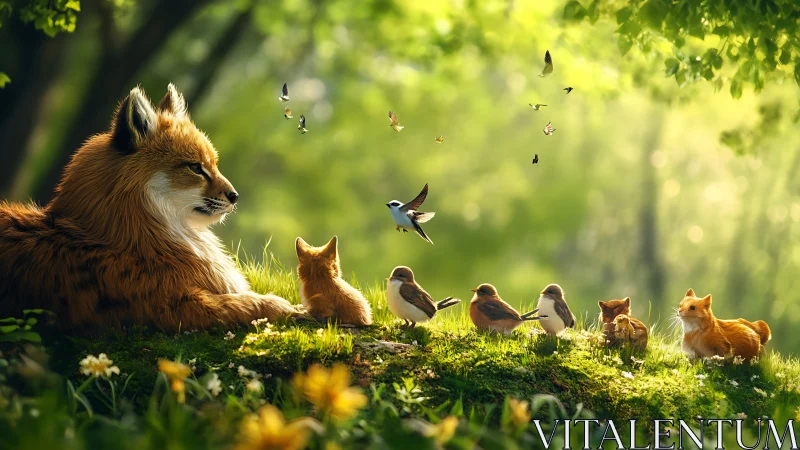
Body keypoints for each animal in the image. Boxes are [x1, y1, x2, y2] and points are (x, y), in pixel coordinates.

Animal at [0, 84, 298, 331]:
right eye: (196, 167)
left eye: (213, 164)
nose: (235, 196)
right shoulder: (171, 304)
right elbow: (240, 304)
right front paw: (282, 306)